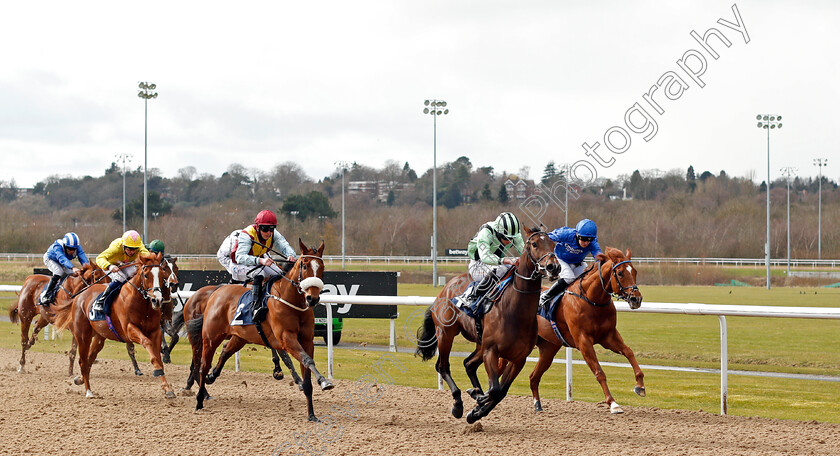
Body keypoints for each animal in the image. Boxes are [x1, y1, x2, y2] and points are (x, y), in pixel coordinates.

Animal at [52, 253, 179, 400]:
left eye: (162, 275)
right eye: (146, 275)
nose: (157, 300)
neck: (141, 303)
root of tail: (79, 295)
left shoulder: (156, 331)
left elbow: (158, 357)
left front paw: (167, 388)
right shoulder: (129, 330)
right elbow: (148, 345)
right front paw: (157, 371)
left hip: (99, 337)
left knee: (89, 359)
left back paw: (80, 379)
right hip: (83, 335)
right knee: (83, 361)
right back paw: (89, 391)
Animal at [189, 240, 334, 422]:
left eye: (321, 267)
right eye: (305, 265)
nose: (312, 298)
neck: (290, 300)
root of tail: (216, 291)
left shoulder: (307, 341)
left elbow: (307, 373)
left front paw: (312, 414)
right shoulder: (287, 339)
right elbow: (307, 360)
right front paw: (324, 381)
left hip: (240, 337)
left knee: (225, 351)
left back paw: (211, 376)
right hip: (210, 338)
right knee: (203, 365)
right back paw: (199, 400)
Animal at [416, 226, 560, 422]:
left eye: (553, 243)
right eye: (535, 244)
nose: (554, 267)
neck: (516, 311)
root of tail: (445, 289)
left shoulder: (518, 358)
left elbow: (500, 391)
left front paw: (477, 410)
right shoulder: (491, 351)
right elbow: (495, 389)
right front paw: (476, 400)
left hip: (479, 343)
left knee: (469, 364)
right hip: (445, 334)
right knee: (443, 366)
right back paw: (458, 404)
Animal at [528, 248, 648, 416]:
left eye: (634, 271)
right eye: (620, 273)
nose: (636, 299)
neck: (592, 301)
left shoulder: (609, 336)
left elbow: (629, 352)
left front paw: (640, 385)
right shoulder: (583, 341)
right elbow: (599, 372)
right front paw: (613, 403)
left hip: (548, 348)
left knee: (533, 377)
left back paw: (538, 404)